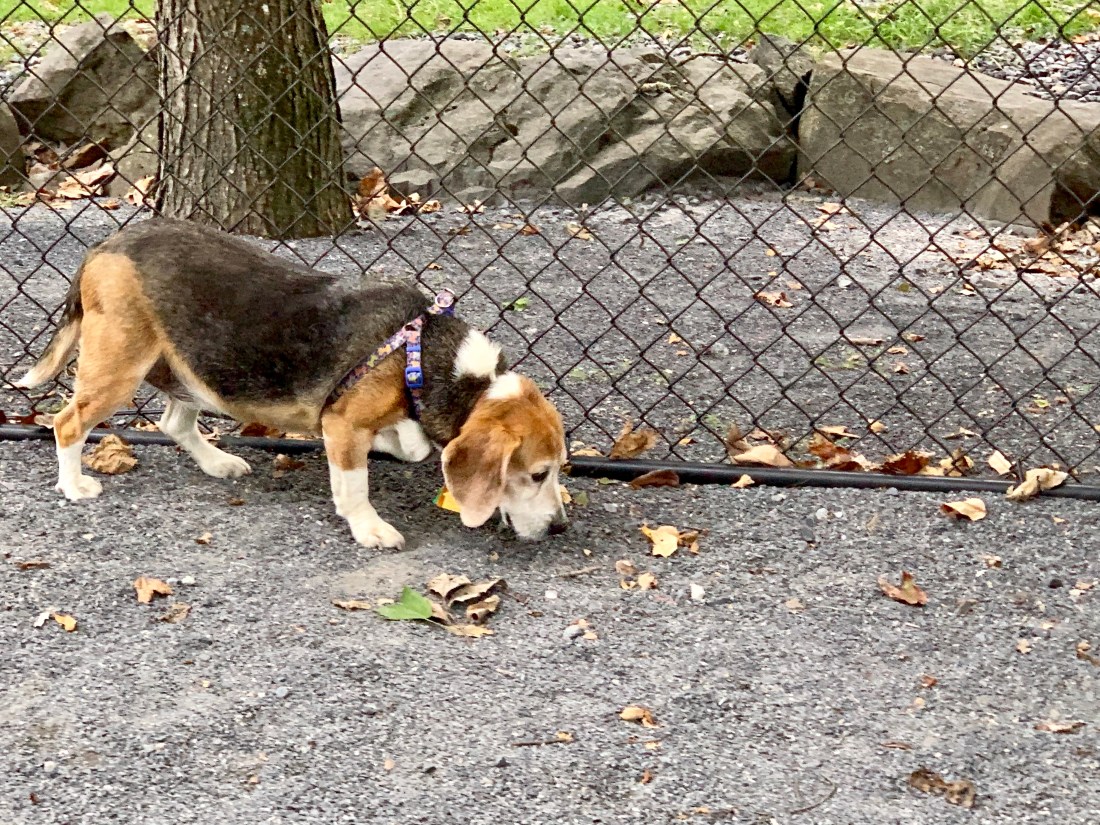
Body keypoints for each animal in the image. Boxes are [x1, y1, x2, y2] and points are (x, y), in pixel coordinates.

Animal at [15, 218, 569, 548]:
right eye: (537, 474)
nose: (561, 527)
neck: (425, 352)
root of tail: (105, 244)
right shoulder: (343, 425)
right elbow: (354, 485)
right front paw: (369, 527)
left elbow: (408, 444)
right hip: (120, 367)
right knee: (67, 423)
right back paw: (74, 484)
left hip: (190, 368)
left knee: (174, 423)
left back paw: (217, 462)